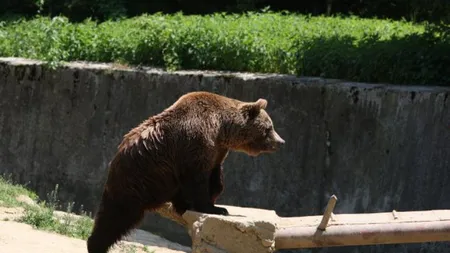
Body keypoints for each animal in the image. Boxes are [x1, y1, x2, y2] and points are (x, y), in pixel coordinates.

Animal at [87, 91, 284, 253]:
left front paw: (211, 199)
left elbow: (215, 178)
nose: (280, 142)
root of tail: (114, 159)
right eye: (269, 127)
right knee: (116, 217)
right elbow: (197, 180)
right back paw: (96, 245)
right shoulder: (195, 142)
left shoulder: (216, 151)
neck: (222, 129)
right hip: (136, 181)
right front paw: (217, 209)